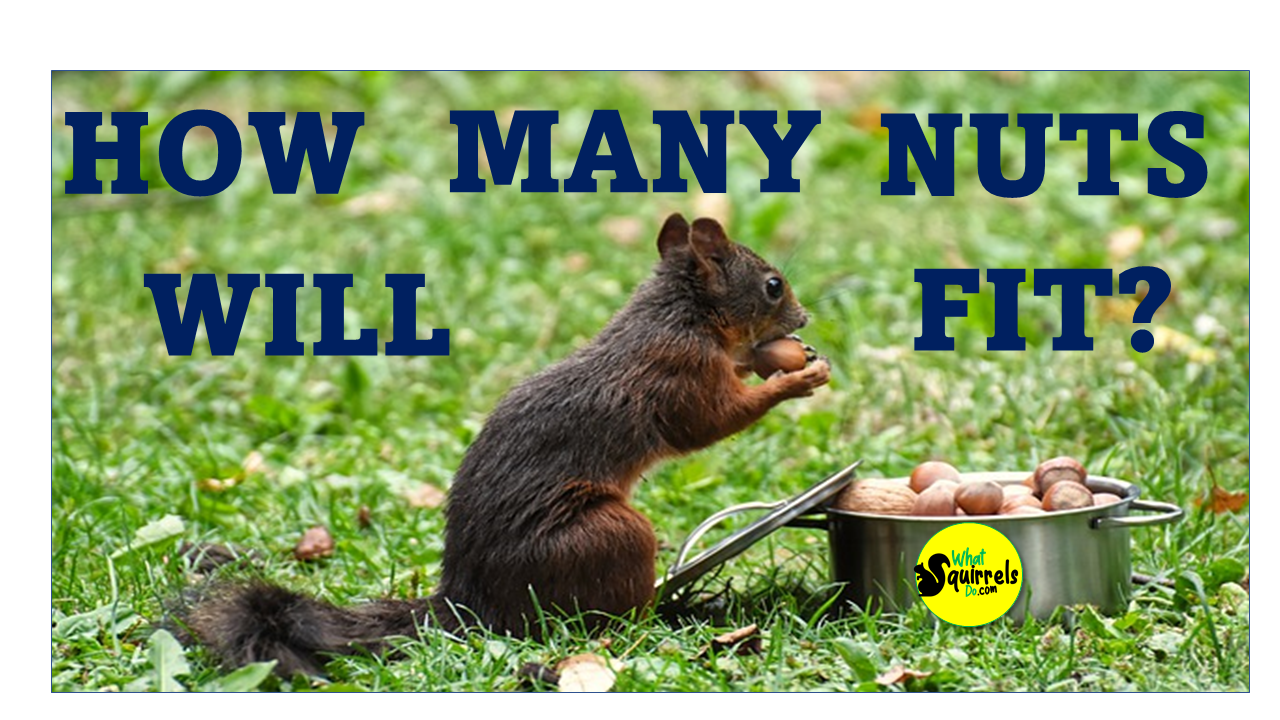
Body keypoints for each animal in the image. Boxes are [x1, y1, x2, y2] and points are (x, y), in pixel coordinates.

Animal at [184, 213, 830, 676]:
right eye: (773, 286)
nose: (802, 319)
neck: (681, 315)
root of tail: (467, 600)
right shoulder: (678, 374)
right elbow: (708, 424)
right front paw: (794, 380)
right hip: (607, 533)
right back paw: (665, 620)